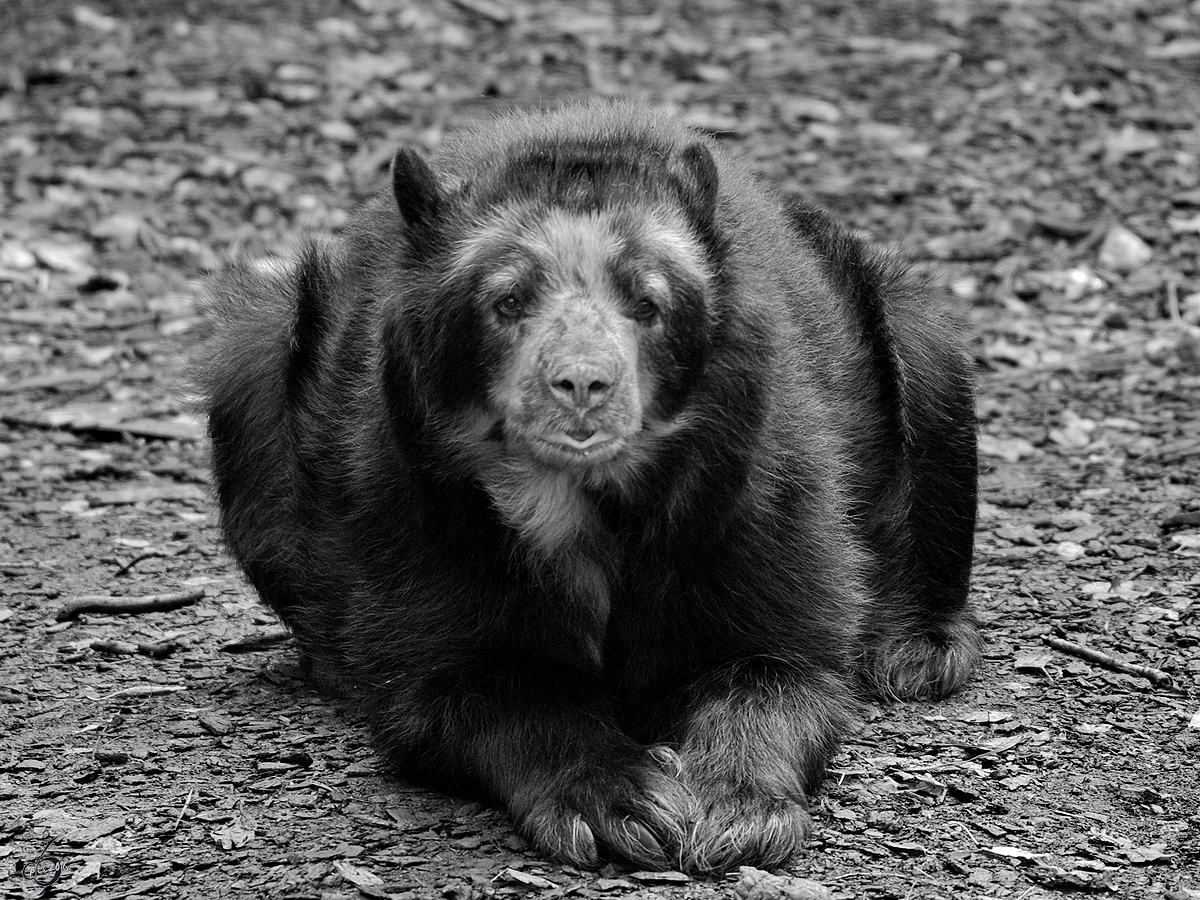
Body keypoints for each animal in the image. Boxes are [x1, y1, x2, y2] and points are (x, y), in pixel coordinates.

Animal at [196, 102, 979, 878]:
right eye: (507, 301)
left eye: (648, 303)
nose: (581, 382)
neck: (584, 496)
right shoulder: (417, 509)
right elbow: (462, 677)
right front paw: (621, 805)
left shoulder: (759, 490)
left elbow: (780, 661)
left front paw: (735, 809)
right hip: (255, 359)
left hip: (913, 336)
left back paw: (916, 652)